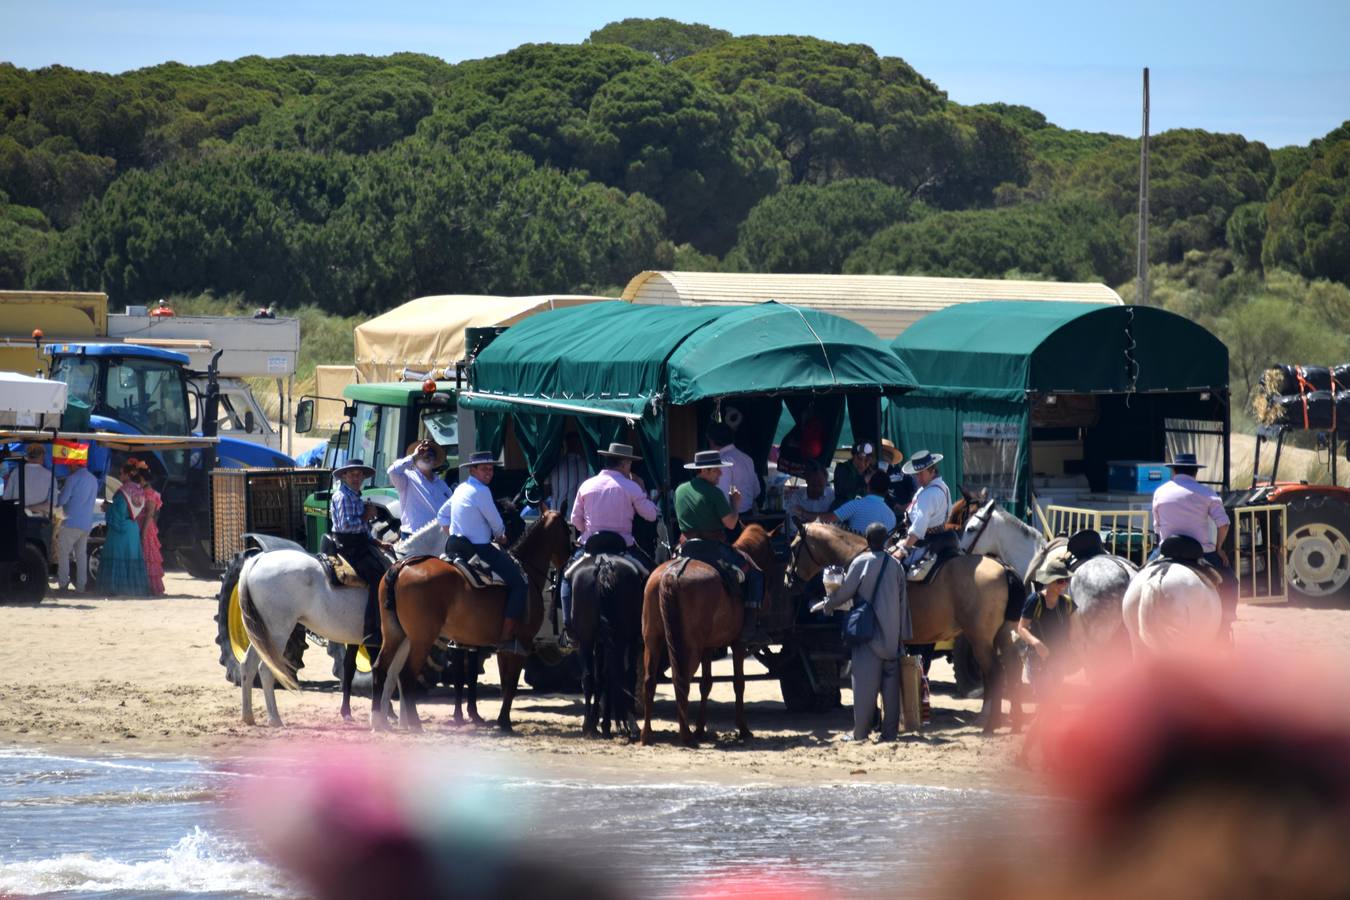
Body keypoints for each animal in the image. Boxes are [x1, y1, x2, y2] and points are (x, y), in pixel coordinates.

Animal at [372, 512, 572, 734]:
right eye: (568, 531)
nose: (570, 558)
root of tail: (400, 567)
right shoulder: (523, 643)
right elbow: (510, 684)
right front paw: (505, 723)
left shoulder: (503, 646)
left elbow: (503, 683)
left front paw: (499, 721)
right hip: (421, 639)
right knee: (406, 675)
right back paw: (415, 723)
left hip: (395, 634)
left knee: (381, 669)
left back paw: (379, 722)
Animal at [639, 523, 783, 750]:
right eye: (772, 554)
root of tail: (671, 574)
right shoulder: (738, 644)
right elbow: (738, 683)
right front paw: (743, 728)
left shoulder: (708, 646)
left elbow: (706, 683)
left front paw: (701, 728)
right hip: (688, 647)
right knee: (681, 680)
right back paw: (685, 735)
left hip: (653, 640)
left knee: (650, 681)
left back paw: (647, 734)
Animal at [788, 523, 1015, 734]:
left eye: (793, 547)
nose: (788, 580)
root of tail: (1003, 567)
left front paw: (875, 722)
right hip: (1001, 636)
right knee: (1011, 668)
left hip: (980, 640)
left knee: (994, 673)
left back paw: (990, 724)